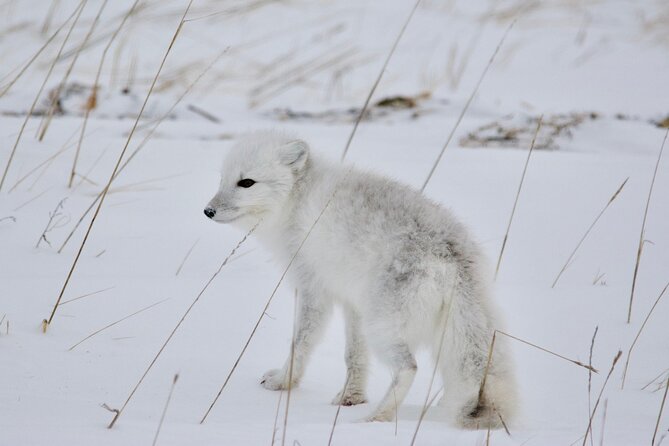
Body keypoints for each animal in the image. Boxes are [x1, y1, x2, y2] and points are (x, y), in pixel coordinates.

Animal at [204, 130, 516, 428]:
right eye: (223, 179)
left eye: (246, 182)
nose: (208, 211)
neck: (298, 198)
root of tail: (451, 254)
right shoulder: (351, 303)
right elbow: (354, 355)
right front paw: (350, 397)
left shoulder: (313, 290)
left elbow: (301, 342)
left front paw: (283, 381)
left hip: (382, 325)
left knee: (409, 367)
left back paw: (375, 419)